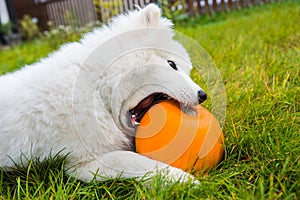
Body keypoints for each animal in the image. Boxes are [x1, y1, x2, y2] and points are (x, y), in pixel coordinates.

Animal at [0, 3, 206, 183]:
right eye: (172, 64)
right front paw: (180, 179)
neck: (97, 89)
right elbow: (133, 160)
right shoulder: (81, 163)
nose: (203, 95)